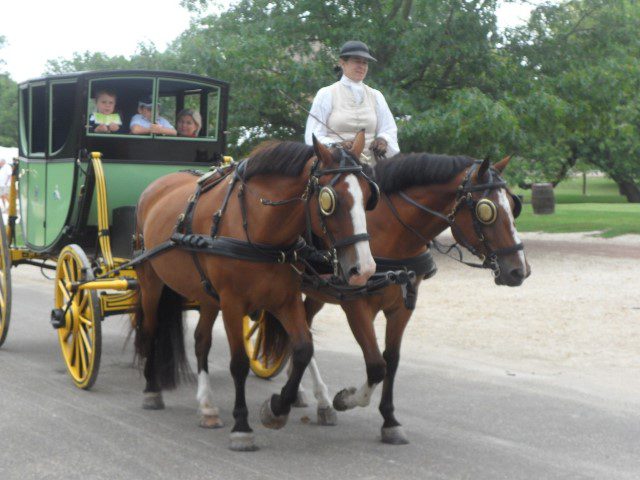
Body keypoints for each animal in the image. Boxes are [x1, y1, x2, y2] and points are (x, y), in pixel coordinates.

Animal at [132, 131, 378, 450]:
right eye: (329, 199)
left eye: (369, 195)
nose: (365, 269)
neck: (260, 229)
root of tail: (156, 185)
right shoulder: (232, 303)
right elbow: (239, 363)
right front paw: (242, 426)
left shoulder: (286, 300)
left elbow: (303, 349)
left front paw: (277, 409)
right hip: (151, 281)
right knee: (151, 330)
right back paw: (152, 390)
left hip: (207, 294)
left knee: (201, 341)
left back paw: (207, 406)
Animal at [290, 152, 528, 444]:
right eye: (486, 210)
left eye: (513, 205)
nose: (520, 270)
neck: (389, 232)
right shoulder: (355, 304)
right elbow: (376, 365)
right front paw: (345, 399)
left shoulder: (403, 306)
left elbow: (391, 360)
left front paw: (389, 420)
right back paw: (320, 399)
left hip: (316, 293)